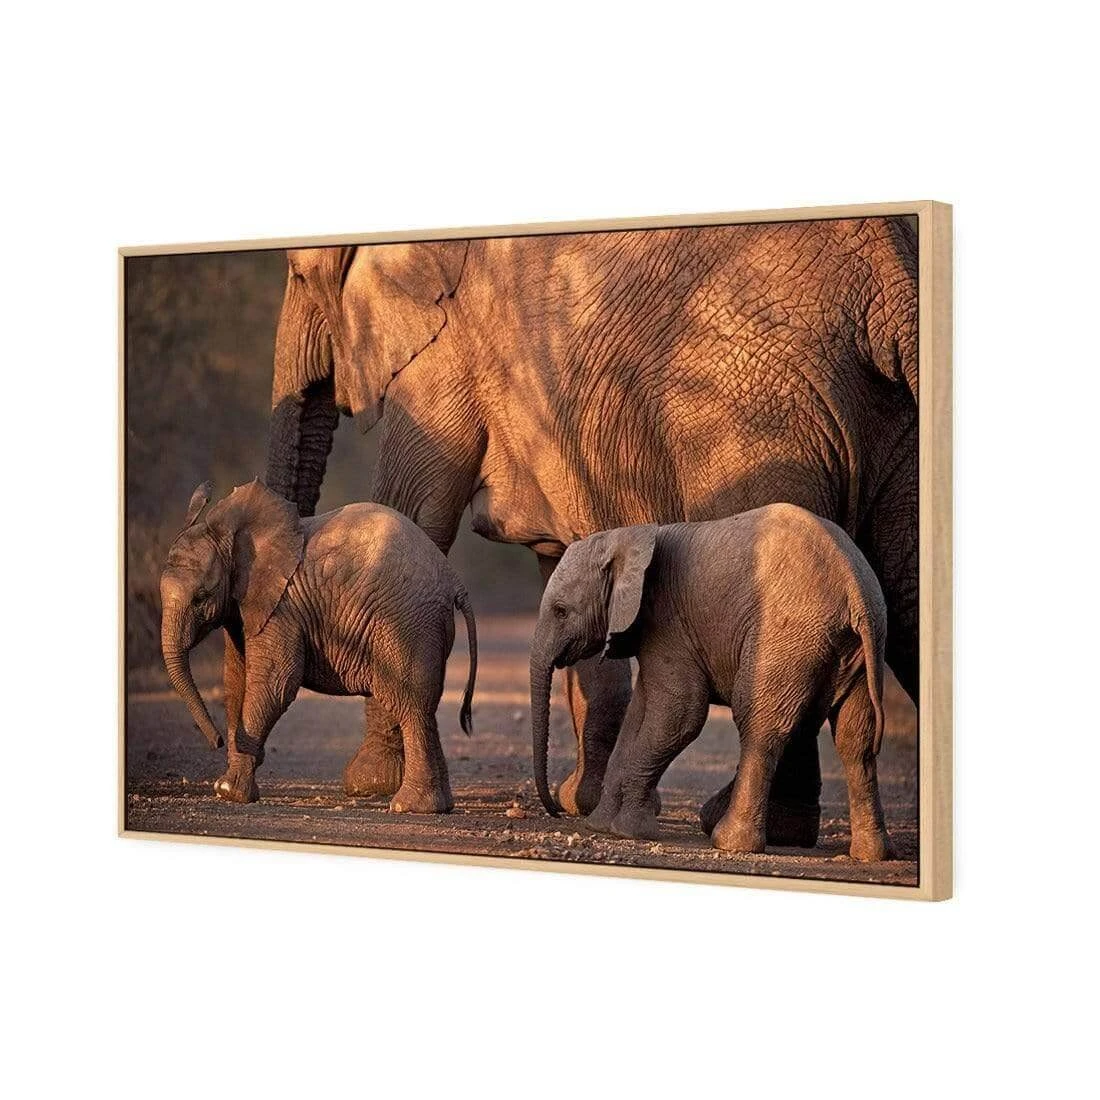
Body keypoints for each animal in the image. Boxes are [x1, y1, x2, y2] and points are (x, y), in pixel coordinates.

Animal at [159, 479, 477, 813]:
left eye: (201, 597)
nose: (217, 740)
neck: (230, 534)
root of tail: (453, 580)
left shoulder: (281, 608)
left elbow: (275, 683)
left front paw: (229, 791)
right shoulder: (241, 607)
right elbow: (236, 681)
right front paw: (227, 786)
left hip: (408, 624)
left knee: (411, 705)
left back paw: (409, 807)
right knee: (424, 708)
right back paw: (438, 806)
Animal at [530, 506, 893, 861]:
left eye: (561, 611)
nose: (555, 812)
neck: (628, 537)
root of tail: (854, 587)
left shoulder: (668, 622)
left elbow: (680, 715)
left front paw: (629, 831)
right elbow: (640, 714)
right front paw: (601, 824)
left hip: (787, 636)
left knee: (759, 727)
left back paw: (730, 842)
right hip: (857, 649)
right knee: (855, 739)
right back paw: (871, 854)